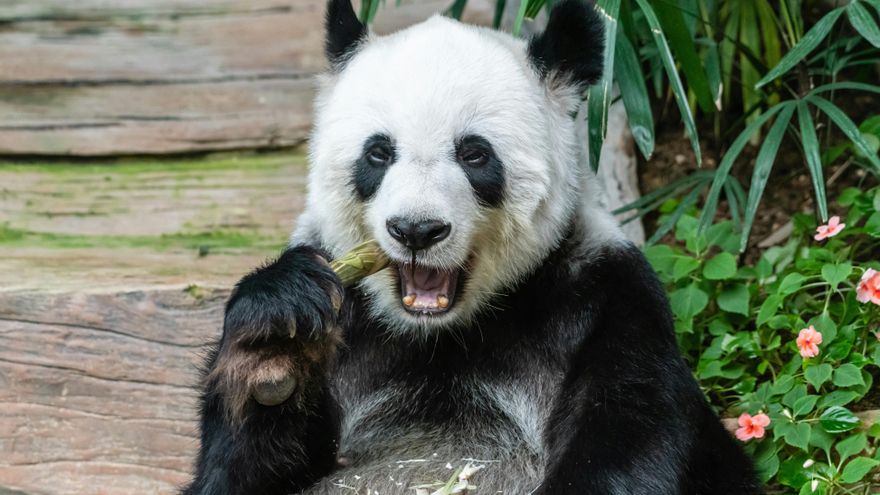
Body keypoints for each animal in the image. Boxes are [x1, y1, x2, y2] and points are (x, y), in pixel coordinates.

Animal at [183, 0, 762, 493]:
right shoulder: (351, 325)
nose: (416, 230)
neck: (442, 333)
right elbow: (233, 474)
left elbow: (632, 438)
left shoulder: (606, 297)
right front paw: (273, 347)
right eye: (378, 153)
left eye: (474, 154)